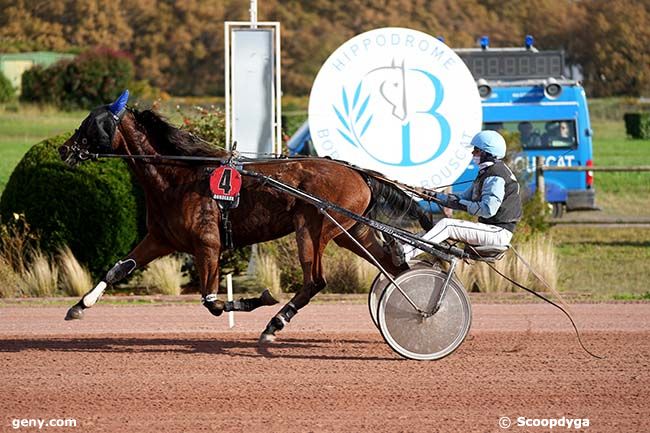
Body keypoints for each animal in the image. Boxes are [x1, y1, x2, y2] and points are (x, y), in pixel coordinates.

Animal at [58, 93, 428, 342]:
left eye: (92, 123)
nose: (64, 149)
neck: (178, 175)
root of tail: (358, 172)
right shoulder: (160, 239)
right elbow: (118, 269)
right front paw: (79, 306)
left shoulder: (208, 245)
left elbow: (210, 302)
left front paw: (260, 298)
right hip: (349, 233)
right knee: (394, 268)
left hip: (313, 228)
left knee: (314, 281)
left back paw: (275, 323)